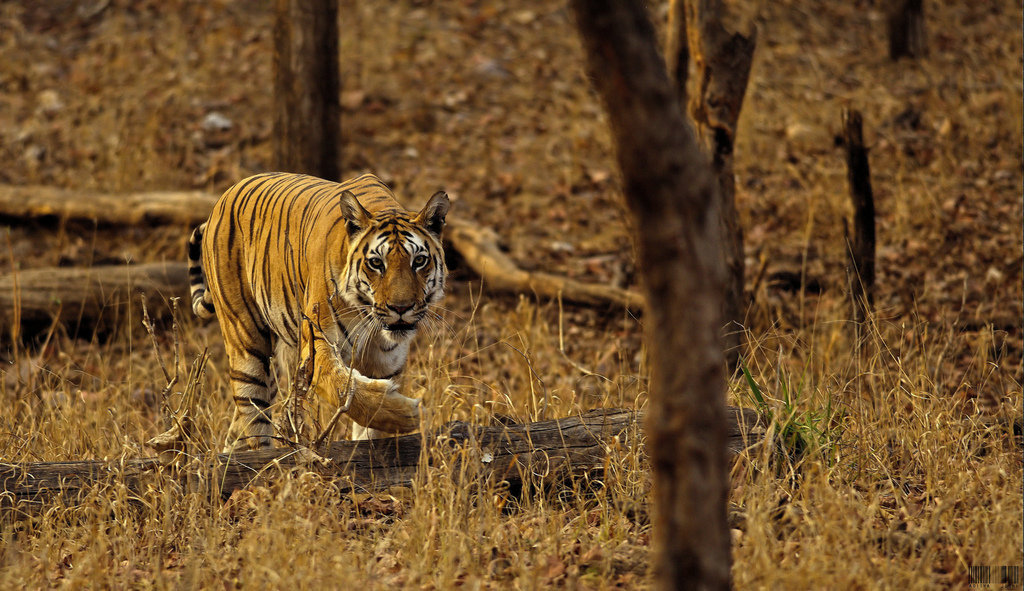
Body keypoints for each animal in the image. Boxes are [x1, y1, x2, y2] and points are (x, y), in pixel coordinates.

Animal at [187, 171, 449, 451]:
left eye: (419, 261)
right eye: (376, 263)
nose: (401, 308)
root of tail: (223, 198)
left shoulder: (385, 361)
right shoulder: (317, 343)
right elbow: (345, 389)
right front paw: (410, 414)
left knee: (237, 431)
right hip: (247, 346)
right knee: (253, 417)